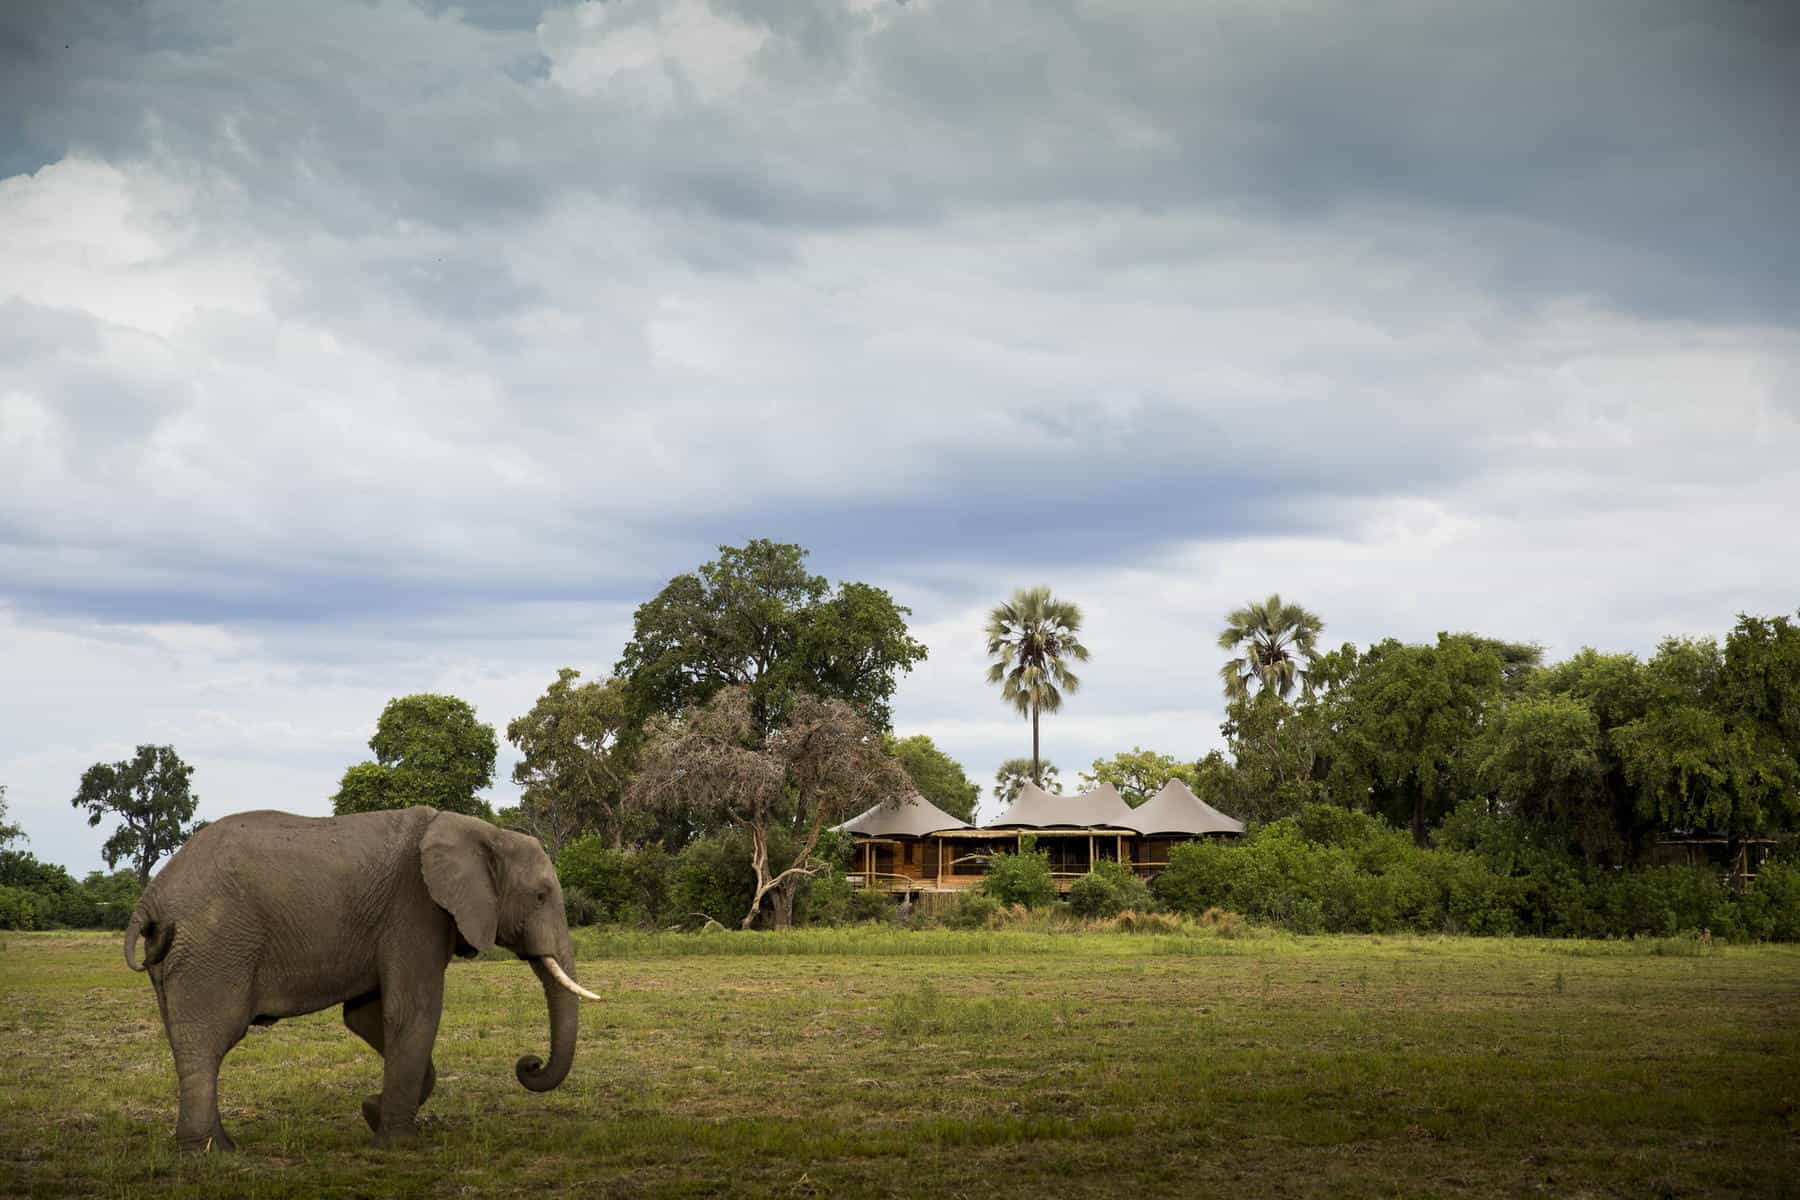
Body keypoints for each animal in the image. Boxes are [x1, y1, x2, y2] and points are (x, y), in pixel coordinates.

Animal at [122, 805, 599, 1151]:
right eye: (541, 896)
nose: (528, 1063)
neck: (482, 831)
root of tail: (151, 899)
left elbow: (367, 1017)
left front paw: (372, 1113)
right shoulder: (414, 910)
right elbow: (414, 1012)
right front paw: (400, 1144)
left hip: (181, 954)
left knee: (187, 1039)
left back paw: (211, 1145)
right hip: (215, 946)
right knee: (209, 1038)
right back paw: (210, 1152)